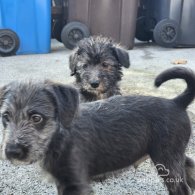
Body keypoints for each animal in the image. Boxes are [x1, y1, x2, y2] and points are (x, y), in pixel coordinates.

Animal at [0, 67, 195, 195]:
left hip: (167, 160)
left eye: (36, 118)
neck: (58, 138)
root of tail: (176, 102)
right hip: (173, 155)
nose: (12, 152)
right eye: (6, 116)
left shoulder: (75, 184)